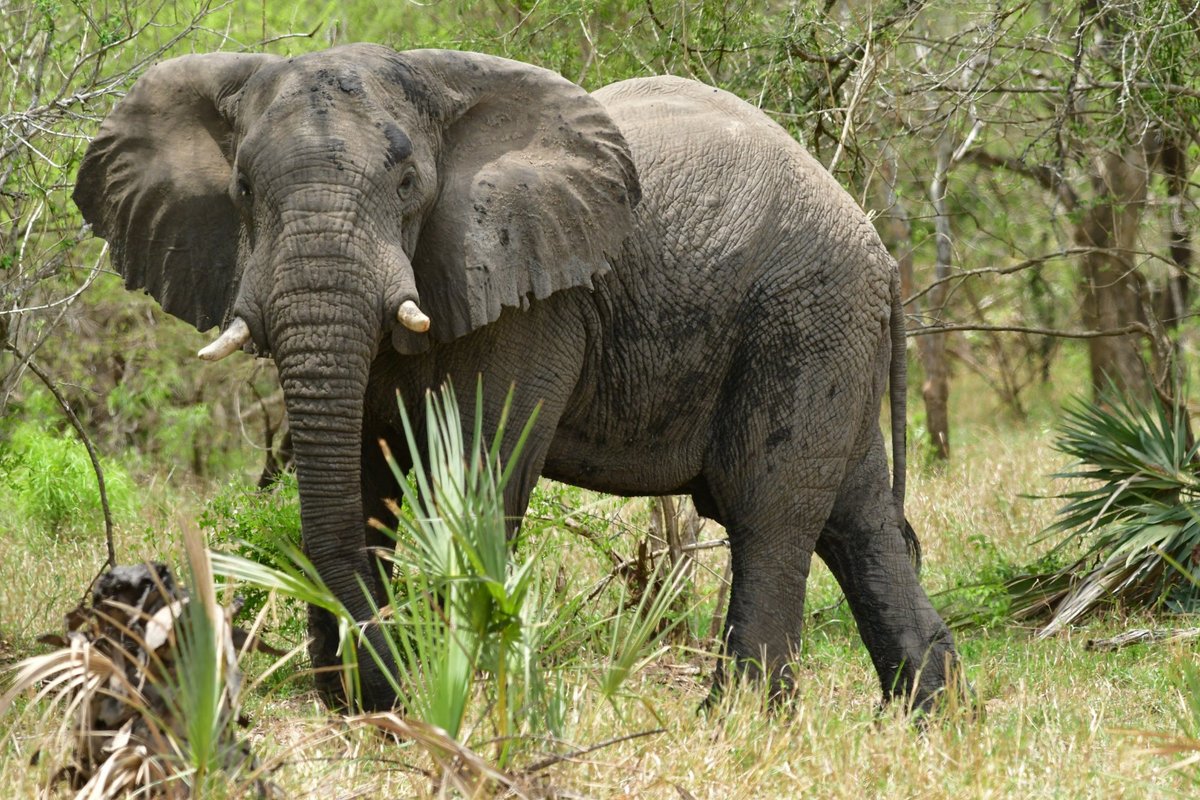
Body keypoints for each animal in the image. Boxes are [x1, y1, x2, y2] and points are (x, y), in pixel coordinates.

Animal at [72, 42, 955, 714]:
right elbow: (364, 471)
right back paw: (926, 713)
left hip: (802, 312)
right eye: (244, 190)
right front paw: (371, 698)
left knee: (767, 511)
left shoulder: (533, 297)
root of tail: (879, 252)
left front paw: (445, 687)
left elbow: (478, 473)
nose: (372, 685)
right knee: (856, 517)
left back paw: (736, 720)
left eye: (408, 188)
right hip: (830, 330)